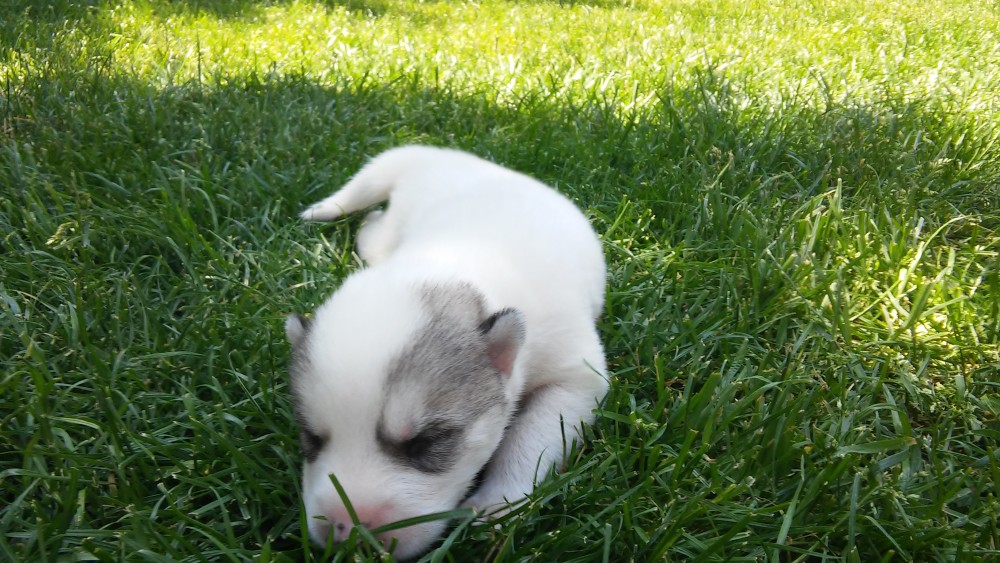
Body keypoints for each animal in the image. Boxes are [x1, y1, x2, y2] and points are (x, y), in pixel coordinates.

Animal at [285, 145, 608, 559]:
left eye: (426, 442)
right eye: (310, 438)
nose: (347, 532)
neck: (447, 261)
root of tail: (437, 157)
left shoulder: (574, 375)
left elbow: (533, 437)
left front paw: (496, 504)